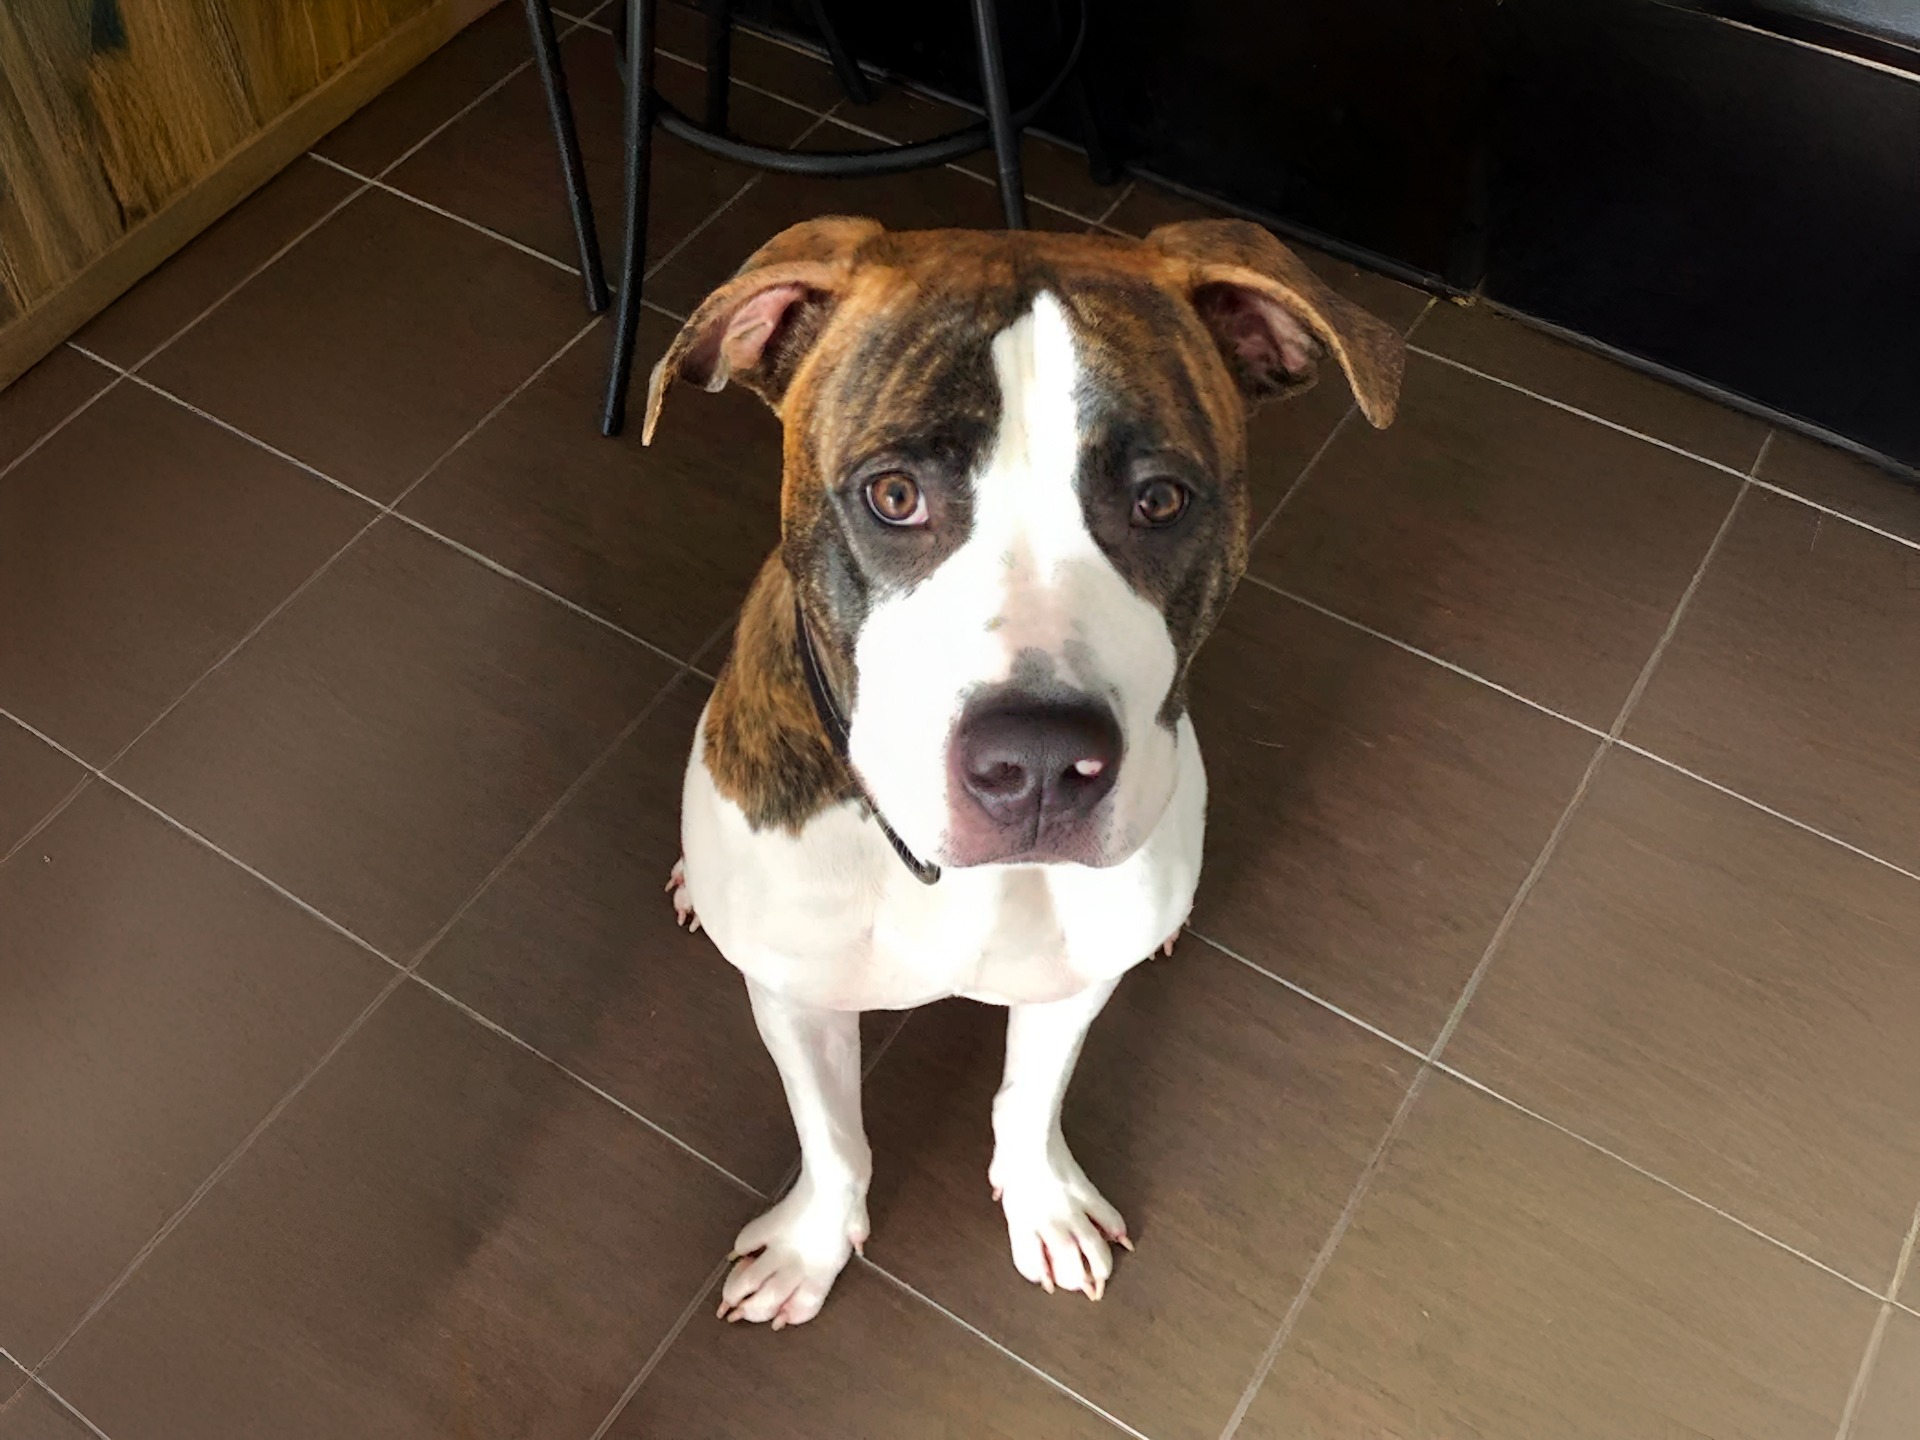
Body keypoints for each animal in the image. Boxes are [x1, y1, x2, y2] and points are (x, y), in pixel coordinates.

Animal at [641, 211, 1397, 1328]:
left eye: (1160, 500)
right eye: (894, 495)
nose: (1039, 763)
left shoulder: (1074, 980)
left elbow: (1030, 1100)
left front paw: (1043, 1204)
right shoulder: (796, 997)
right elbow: (833, 1139)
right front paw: (811, 1247)